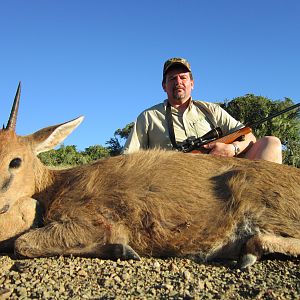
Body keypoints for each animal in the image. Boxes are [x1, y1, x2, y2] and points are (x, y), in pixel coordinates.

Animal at [0, 83, 300, 268]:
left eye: (16, 161)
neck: (58, 186)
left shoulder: (94, 221)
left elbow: (23, 243)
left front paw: (122, 249)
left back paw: (247, 252)